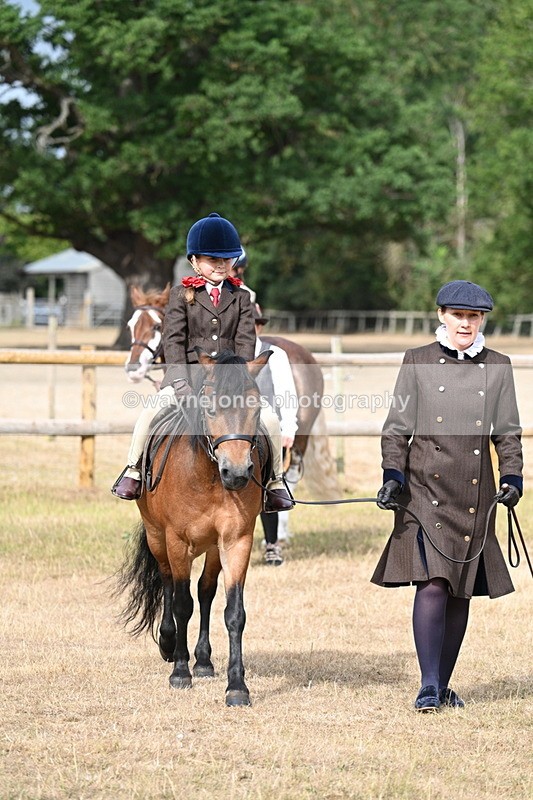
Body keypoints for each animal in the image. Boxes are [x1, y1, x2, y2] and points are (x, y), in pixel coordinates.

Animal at [116, 349, 272, 706]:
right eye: (211, 408)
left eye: (256, 410)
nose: (237, 473)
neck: (209, 476)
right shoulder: (176, 540)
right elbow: (180, 603)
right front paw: (179, 672)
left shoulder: (236, 541)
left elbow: (233, 612)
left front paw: (237, 686)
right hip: (157, 538)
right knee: (169, 583)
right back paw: (169, 645)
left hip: (213, 548)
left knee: (205, 591)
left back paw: (202, 661)